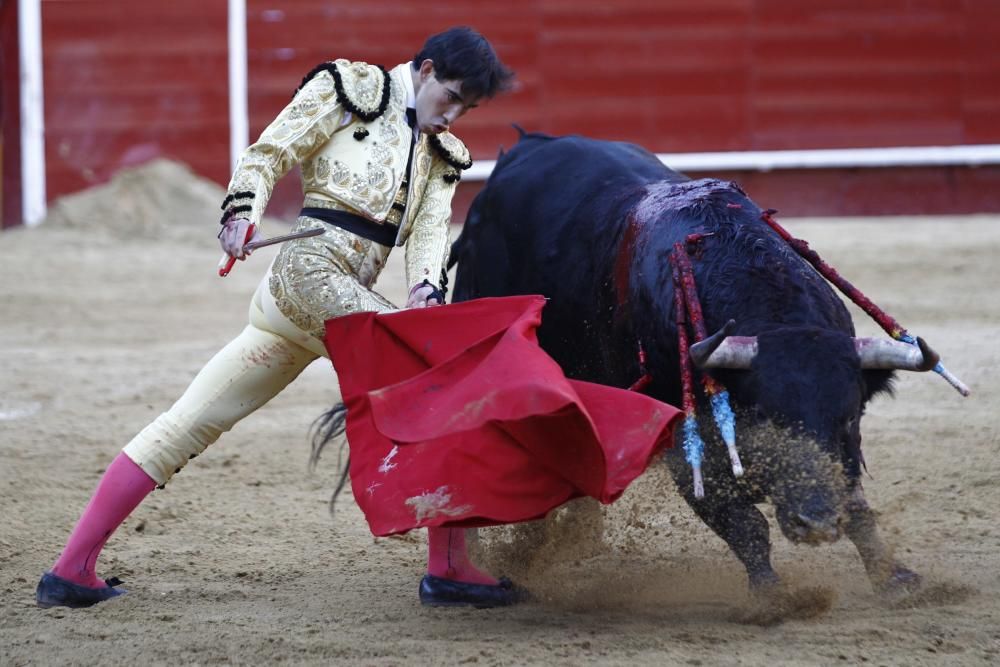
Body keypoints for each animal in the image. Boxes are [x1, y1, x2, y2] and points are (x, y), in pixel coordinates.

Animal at [450, 130, 932, 596]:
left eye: (848, 417)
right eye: (766, 420)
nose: (816, 523)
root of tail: (524, 148)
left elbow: (857, 508)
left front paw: (895, 580)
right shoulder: (686, 445)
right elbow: (744, 523)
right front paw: (775, 597)